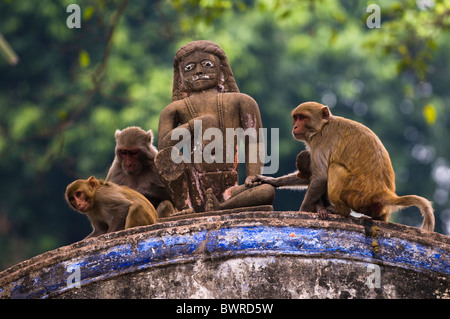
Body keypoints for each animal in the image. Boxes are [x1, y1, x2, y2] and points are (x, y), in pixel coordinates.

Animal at [290, 101, 434, 231]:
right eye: (296, 118)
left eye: (303, 117)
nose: (295, 127)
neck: (323, 125)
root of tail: (381, 191)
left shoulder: (320, 141)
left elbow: (320, 177)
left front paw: (303, 211)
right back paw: (379, 217)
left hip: (356, 194)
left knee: (335, 168)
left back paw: (341, 210)